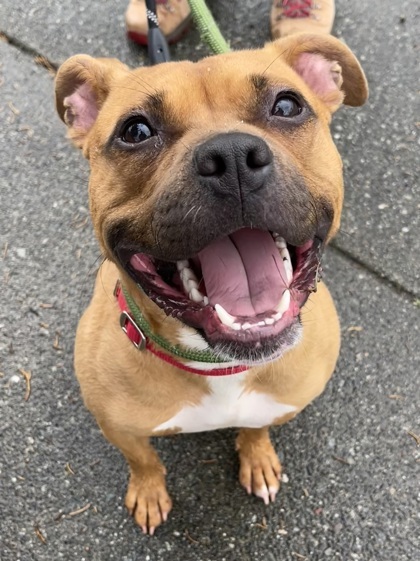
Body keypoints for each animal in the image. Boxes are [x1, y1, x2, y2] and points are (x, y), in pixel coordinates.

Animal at [55, 34, 368, 532]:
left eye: (287, 105)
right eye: (135, 131)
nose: (233, 156)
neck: (219, 363)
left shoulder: (275, 404)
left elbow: (256, 428)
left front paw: (257, 458)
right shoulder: (120, 428)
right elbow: (143, 460)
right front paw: (148, 491)